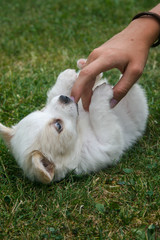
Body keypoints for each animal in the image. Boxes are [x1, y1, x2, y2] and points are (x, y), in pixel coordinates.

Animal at [0, 59, 149, 183]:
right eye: (58, 125)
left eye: (42, 110)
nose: (65, 98)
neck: (79, 132)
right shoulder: (107, 144)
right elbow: (99, 113)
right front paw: (101, 94)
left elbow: (54, 94)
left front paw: (67, 76)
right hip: (136, 105)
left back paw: (85, 66)